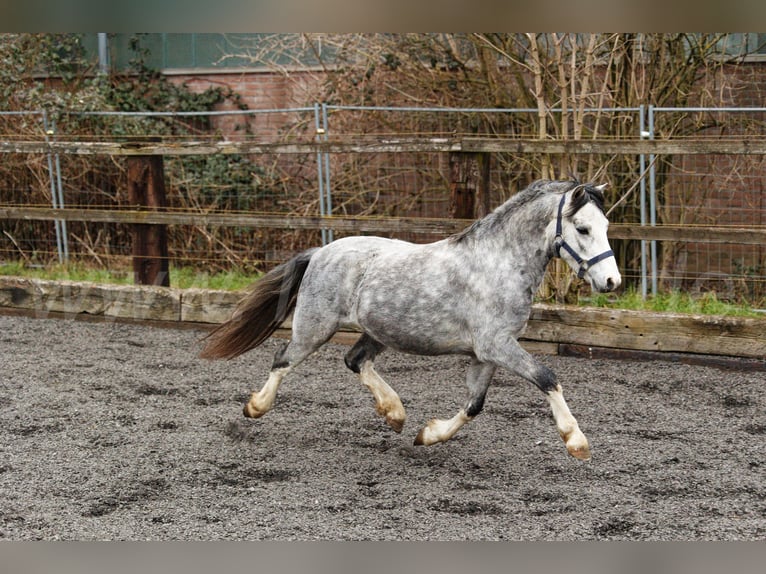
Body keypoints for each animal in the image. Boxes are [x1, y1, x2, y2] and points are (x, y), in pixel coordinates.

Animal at [201, 180, 620, 464]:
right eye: (583, 228)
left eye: (606, 227)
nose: (611, 282)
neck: (497, 263)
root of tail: (321, 251)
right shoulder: (497, 346)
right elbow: (548, 377)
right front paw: (576, 441)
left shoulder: (486, 354)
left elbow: (474, 405)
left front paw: (427, 435)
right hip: (314, 328)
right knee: (283, 360)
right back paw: (255, 407)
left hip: (378, 331)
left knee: (355, 361)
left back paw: (395, 413)